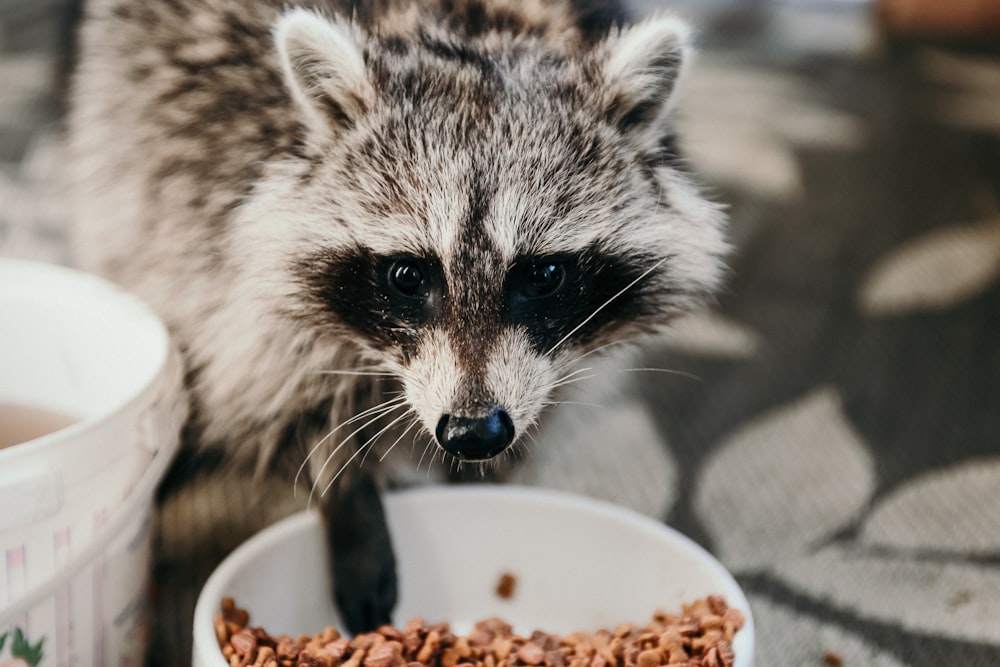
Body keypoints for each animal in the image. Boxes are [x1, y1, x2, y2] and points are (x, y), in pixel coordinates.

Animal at [68, 0, 728, 636]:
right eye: (408, 276)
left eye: (543, 276)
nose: (475, 433)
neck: (473, 29)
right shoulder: (209, 205)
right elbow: (268, 379)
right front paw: (346, 489)